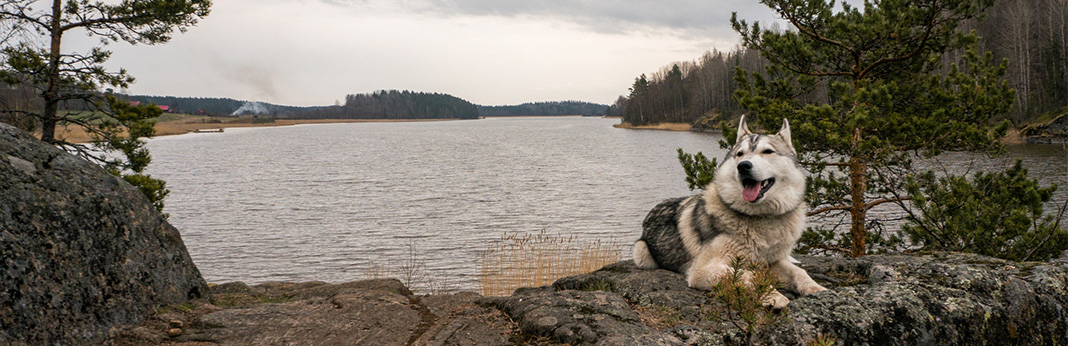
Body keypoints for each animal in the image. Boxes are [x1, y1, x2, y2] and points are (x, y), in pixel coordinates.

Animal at [632, 115, 824, 307]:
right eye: (740, 154)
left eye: (768, 151)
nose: (743, 166)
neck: (760, 217)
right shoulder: (702, 270)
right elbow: (746, 275)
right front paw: (773, 296)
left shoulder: (772, 262)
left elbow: (799, 272)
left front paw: (817, 289)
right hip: (641, 253)